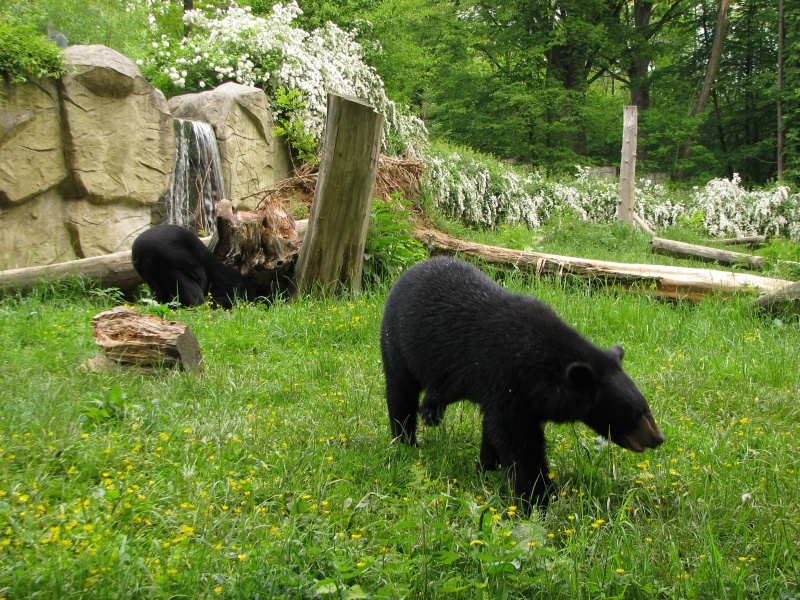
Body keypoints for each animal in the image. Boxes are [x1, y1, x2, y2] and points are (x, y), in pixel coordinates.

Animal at [380, 256, 665, 510]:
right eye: (634, 413)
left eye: (645, 407)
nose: (658, 438)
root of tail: (409, 271)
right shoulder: (507, 378)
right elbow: (517, 440)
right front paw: (538, 497)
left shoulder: (520, 395)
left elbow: (494, 429)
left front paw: (488, 466)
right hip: (398, 342)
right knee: (400, 392)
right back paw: (405, 441)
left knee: (442, 389)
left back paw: (431, 412)